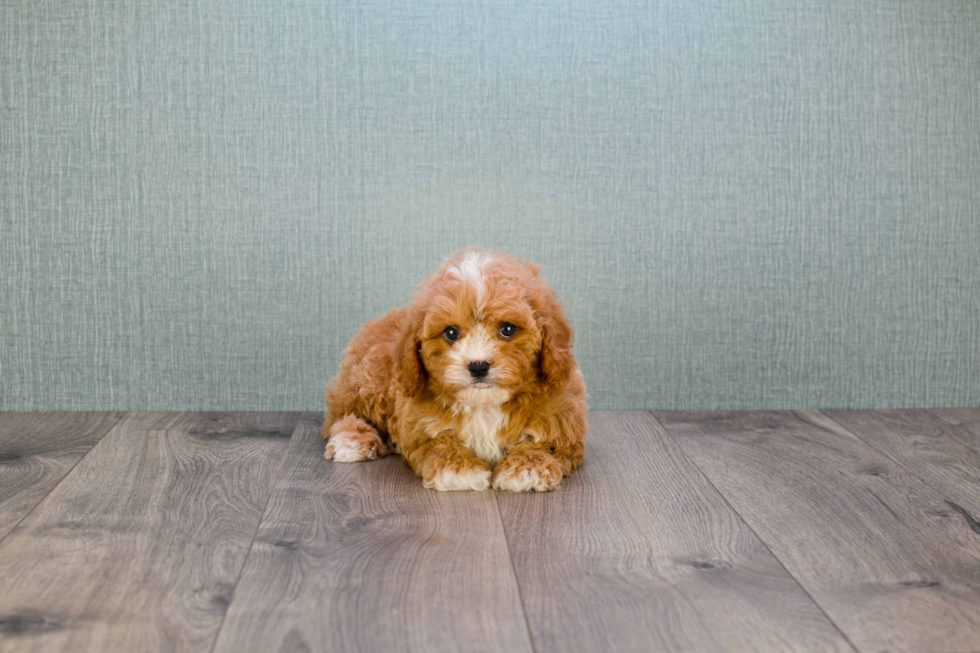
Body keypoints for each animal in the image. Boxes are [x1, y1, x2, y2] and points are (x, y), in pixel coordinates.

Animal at [322, 247, 584, 492]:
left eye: (508, 329)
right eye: (450, 333)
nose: (478, 366)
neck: (483, 404)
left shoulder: (562, 421)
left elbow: (546, 443)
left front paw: (528, 467)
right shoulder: (420, 424)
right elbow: (439, 444)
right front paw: (458, 469)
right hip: (370, 378)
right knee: (342, 414)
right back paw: (351, 440)